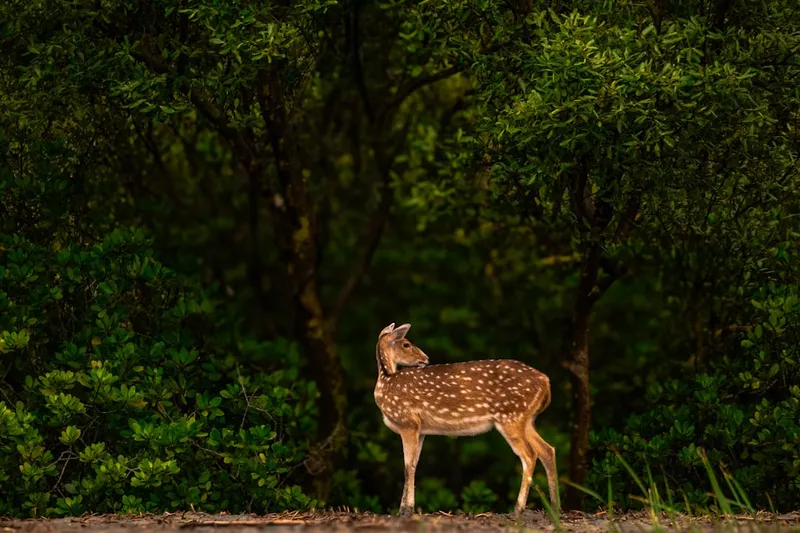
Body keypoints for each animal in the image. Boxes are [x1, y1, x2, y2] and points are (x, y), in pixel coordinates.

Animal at [373, 322, 559, 518]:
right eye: (406, 344)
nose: (426, 358)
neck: (384, 384)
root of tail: (545, 381)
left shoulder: (408, 422)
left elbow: (407, 466)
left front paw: (406, 510)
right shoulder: (420, 429)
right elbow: (414, 464)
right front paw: (404, 508)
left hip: (510, 415)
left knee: (529, 454)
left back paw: (518, 509)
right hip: (526, 419)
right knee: (547, 450)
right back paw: (555, 507)